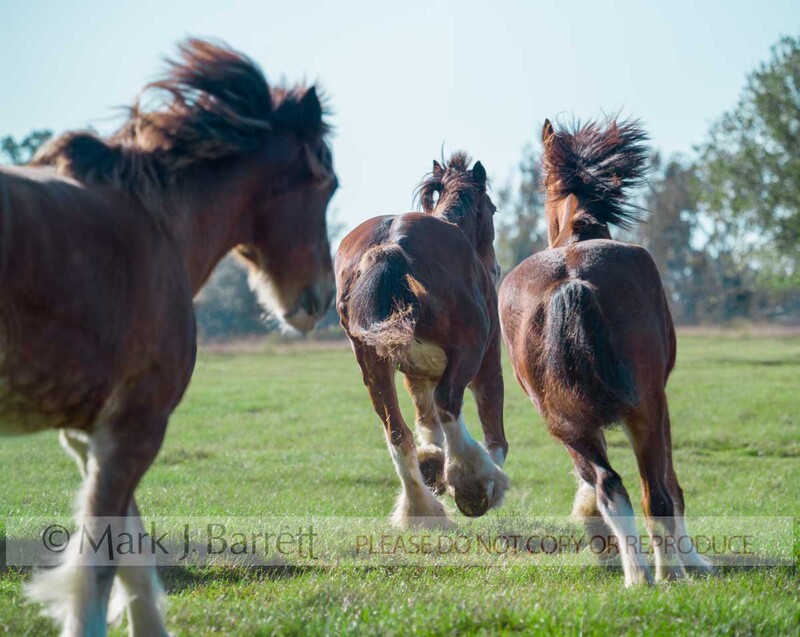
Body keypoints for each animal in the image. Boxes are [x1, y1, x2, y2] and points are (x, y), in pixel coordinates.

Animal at [0, 39, 336, 635]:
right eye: (329, 185)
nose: (321, 296)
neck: (157, 223)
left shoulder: (93, 436)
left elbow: (130, 554)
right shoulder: (137, 424)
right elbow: (98, 568)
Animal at [335, 153, 508, 527]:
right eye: (493, 208)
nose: (497, 268)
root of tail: (391, 245)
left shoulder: (416, 373)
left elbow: (426, 424)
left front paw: (433, 464)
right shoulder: (489, 360)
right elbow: (494, 432)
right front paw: (481, 480)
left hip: (372, 363)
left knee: (397, 432)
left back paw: (420, 508)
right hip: (469, 355)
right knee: (448, 403)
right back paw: (472, 484)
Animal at [498, 118, 712, 586]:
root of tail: (572, 278)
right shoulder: (660, 405)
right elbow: (674, 486)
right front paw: (694, 560)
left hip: (566, 425)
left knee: (610, 485)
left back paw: (637, 575)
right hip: (644, 410)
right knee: (656, 493)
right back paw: (668, 573)